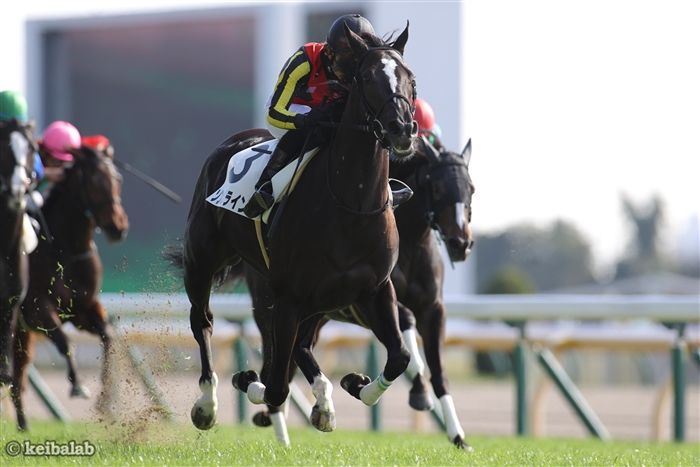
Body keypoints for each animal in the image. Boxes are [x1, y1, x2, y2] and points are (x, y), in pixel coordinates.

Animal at [10, 144, 129, 432]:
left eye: (118, 178)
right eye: (95, 181)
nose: (118, 227)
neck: (64, 249)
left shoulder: (81, 310)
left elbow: (107, 335)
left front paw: (105, 402)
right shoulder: (37, 310)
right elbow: (65, 342)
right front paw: (78, 386)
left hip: (21, 333)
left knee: (18, 376)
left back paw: (23, 425)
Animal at [174, 24, 416, 442]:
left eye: (410, 78)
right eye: (369, 77)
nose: (402, 128)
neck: (350, 203)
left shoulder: (376, 288)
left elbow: (399, 357)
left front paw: (355, 384)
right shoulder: (287, 296)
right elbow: (273, 386)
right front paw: (246, 380)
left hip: (316, 299)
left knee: (302, 347)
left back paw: (325, 402)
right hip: (202, 261)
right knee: (202, 322)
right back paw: (207, 403)